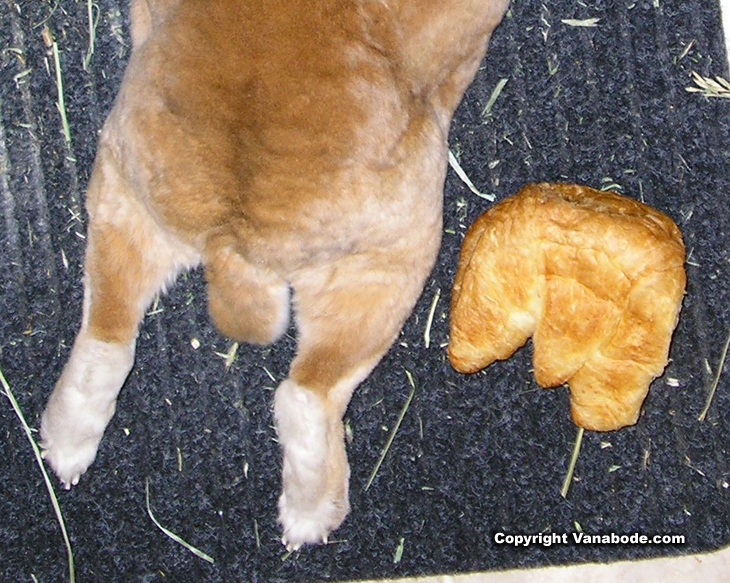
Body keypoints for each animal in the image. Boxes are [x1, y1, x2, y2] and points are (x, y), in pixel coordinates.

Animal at [39, 0, 509, 550]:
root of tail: (229, 236)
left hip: (123, 193)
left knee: (106, 331)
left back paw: (65, 446)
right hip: (390, 260)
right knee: (309, 393)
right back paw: (311, 516)